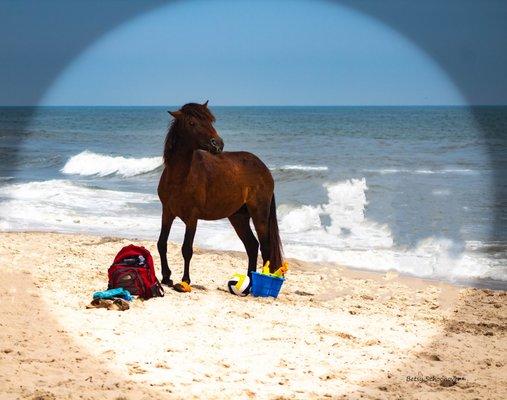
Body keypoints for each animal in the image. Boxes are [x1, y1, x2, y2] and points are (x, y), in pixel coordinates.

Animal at [157, 101, 284, 292]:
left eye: (210, 121)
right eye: (192, 123)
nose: (218, 144)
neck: (180, 178)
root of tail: (264, 168)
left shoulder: (192, 217)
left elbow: (187, 249)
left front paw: (185, 281)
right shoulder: (167, 212)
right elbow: (162, 243)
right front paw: (166, 278)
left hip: (259, 214)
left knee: (265, 247)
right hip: (238, 217)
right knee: (252, 246)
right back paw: (248, 284)